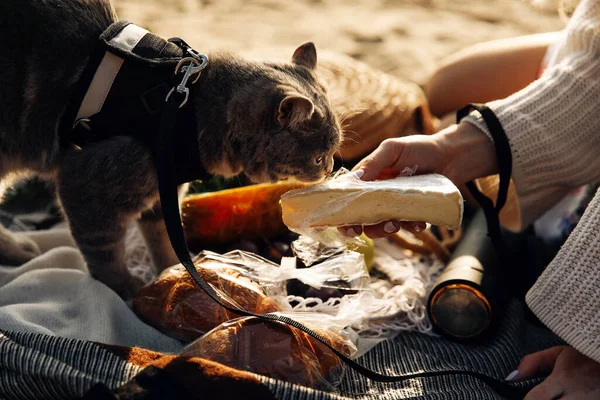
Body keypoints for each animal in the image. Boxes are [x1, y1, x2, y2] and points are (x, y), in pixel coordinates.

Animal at [0, 0, 342, 298]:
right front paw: (126, 288)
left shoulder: (163, 195)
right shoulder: (85, 184)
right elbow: (105, 254)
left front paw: (174, 274)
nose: (330, 168)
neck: (190, 110)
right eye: (318, 157)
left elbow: (165, 242)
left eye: (333, 151)